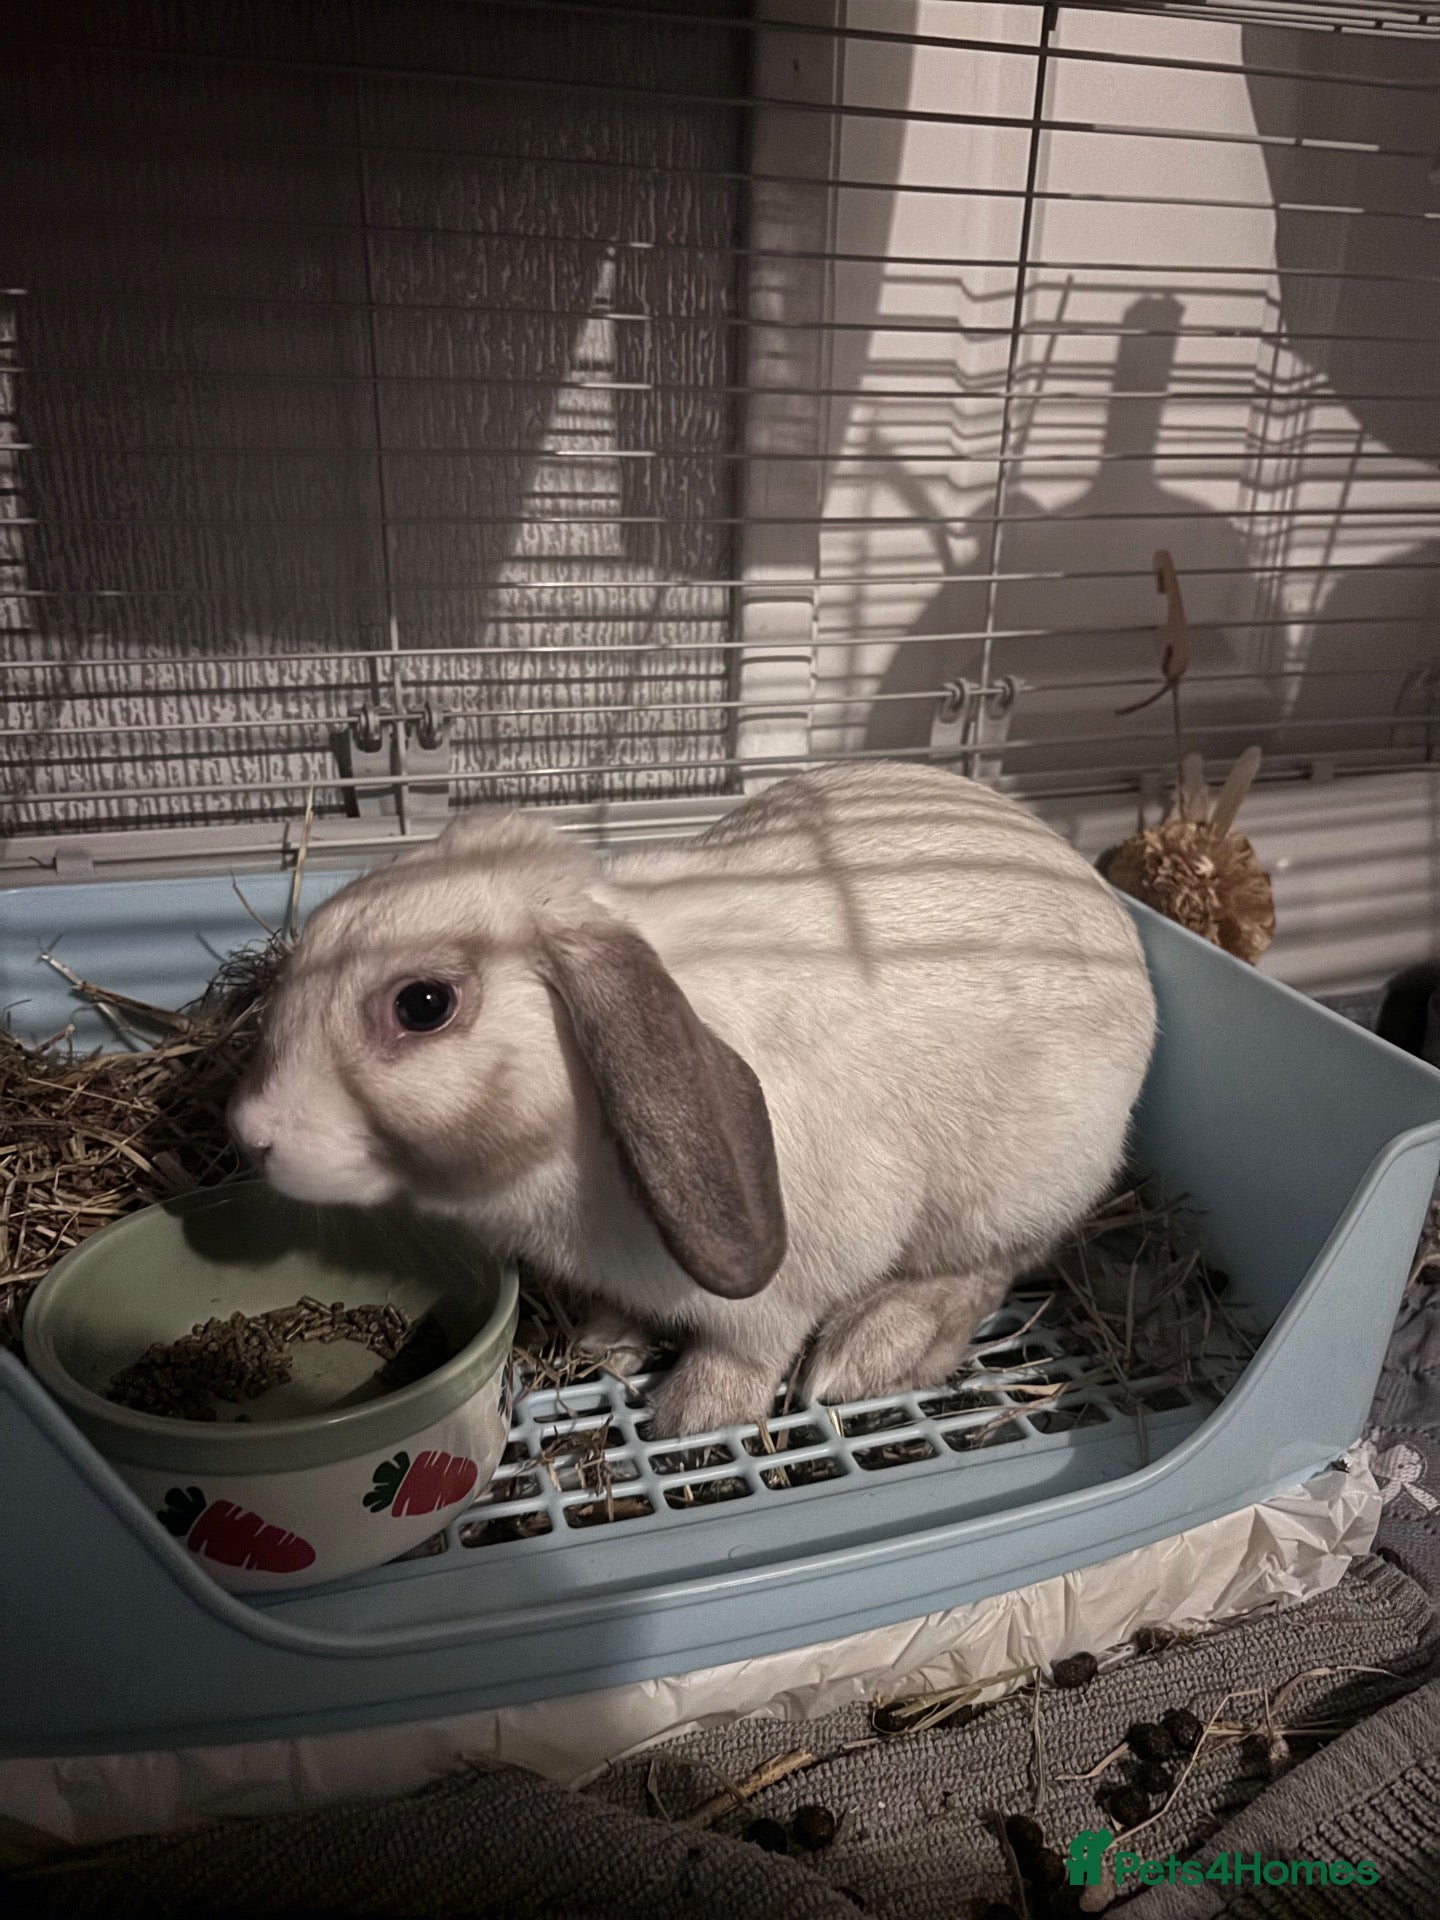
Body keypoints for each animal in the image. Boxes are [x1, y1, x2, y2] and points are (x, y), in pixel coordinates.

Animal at [229, 762, 1157, 1437]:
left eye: (424, 1004)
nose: (251, 1132)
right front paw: (605, 1342)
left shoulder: (786, 1284)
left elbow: (748, 1349)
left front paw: (692, 1414)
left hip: (1010, 1191)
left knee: (987, 1270)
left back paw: (875, 1349)